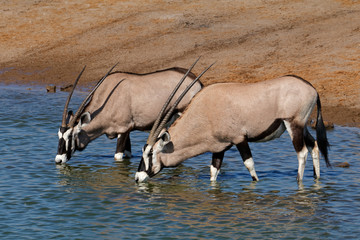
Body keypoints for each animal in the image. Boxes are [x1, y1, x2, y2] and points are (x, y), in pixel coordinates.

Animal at [55, 61, 202, 164]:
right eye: (59, 135)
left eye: (70, 136)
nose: (58, 160)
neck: (108, 97)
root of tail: (195, 80)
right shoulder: (128, 132)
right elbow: (128, 154)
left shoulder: (123, 129)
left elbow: (117, 157)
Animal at [134, 72, 330, 182]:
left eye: (150, 154)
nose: (137, 177)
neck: (205, 110)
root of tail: (312, 89)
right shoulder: (219, 147)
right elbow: (213, 171)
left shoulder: (239, 139)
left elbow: (249, 165)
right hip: (302, 126)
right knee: (314, 146)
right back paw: (317, 179)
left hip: (293, 124)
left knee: (302, 153)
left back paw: (299, 182)